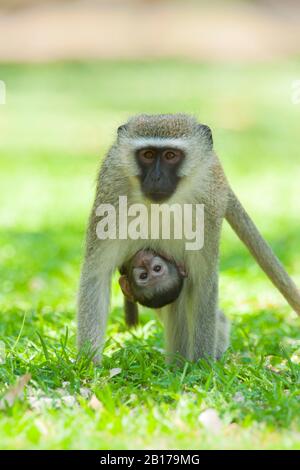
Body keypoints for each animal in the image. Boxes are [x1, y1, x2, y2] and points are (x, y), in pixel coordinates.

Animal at [78, 113, 300, 364]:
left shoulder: (208, 207)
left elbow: (203, 282)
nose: (156, 177)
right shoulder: (112, 195)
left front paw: (202, 364)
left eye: (170, 156)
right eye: (147, 155)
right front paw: (89, 364)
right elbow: (96, 276)